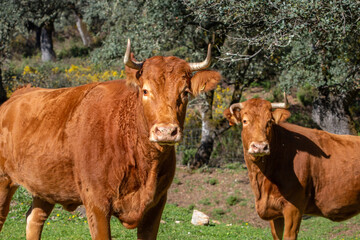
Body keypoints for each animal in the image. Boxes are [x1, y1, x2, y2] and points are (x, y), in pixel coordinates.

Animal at [0, 40, 222, 239]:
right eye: (145, 90)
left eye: (185, 92)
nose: (166, 131)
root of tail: (15, 96)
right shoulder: (96, 203)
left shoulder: (157, 203)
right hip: (4, 180)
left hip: (45, 187)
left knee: (34, 219)